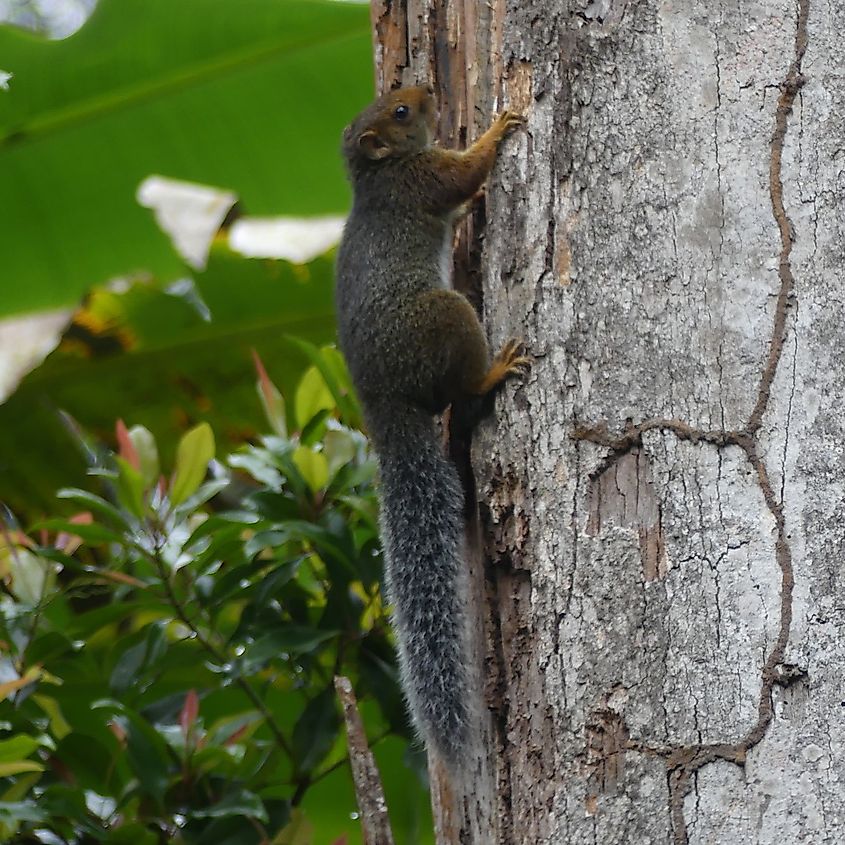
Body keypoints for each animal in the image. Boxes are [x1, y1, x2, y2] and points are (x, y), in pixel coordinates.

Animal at [335, 85, 528, 767]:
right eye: (398, 112)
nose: (423, 90)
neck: (376, 174)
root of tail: (382, 406)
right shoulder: (420, 179)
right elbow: (462, 175)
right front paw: (500, 125)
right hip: (443, 318)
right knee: (461, 386)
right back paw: (494, 369)